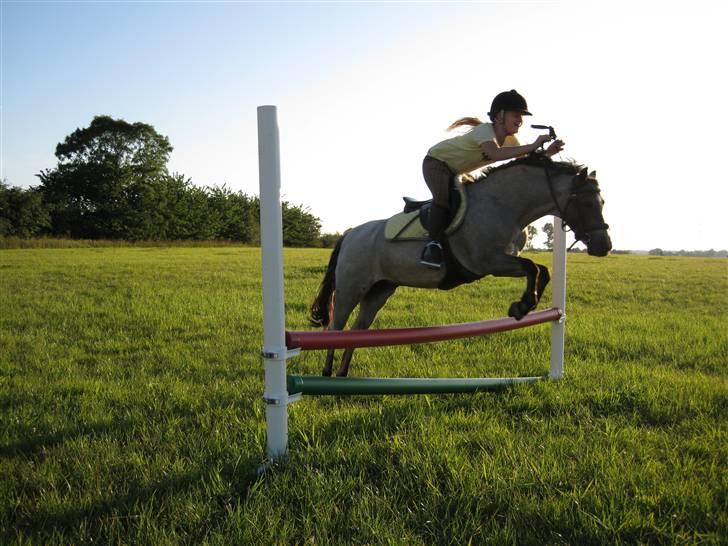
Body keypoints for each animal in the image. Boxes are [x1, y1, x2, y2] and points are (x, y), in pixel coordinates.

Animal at [310, 154, 612, 377]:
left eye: (602, 201)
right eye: (587, 203)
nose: (604, 246)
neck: (504, 205)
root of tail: (351, 233)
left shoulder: (501, 260)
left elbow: (542, 270)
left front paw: (525, 304)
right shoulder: (488, 261)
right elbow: (532, 267)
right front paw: (521, 307)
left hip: (379, 291)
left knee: (357, 330)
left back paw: (343, 374)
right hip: (352, 288)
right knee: (336, 326)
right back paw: (326, 374)